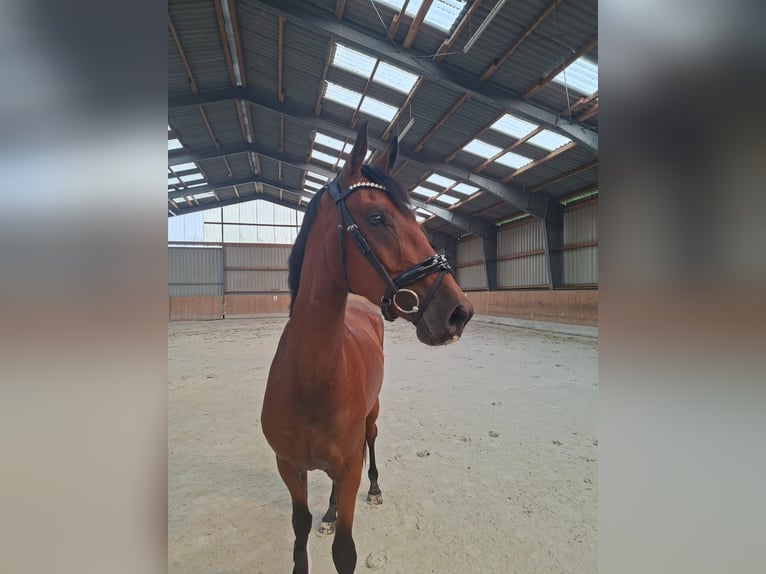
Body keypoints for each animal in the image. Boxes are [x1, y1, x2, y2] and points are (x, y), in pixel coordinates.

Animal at [261, 120, 474, 573]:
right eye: (377, 217)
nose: (459, 312)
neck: (310, 378)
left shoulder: (348, 465)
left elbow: (345, 551)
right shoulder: (289, 467)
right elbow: (300, 528)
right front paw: (321, 519)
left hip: (371, 415)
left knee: (371, 440)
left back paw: (373, 491)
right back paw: (329, 511)